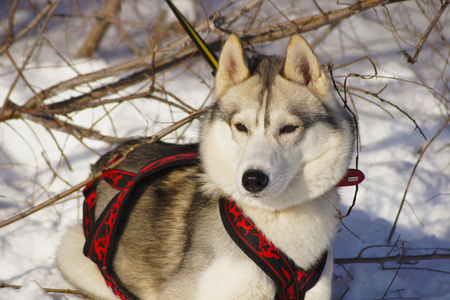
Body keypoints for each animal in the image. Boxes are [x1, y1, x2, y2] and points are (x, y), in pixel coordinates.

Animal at [57, 34, 356, 298]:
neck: (275, 218)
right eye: (241, 126)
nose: (253, 179)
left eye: (289, 128)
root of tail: (108, 159)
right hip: (74, 252)